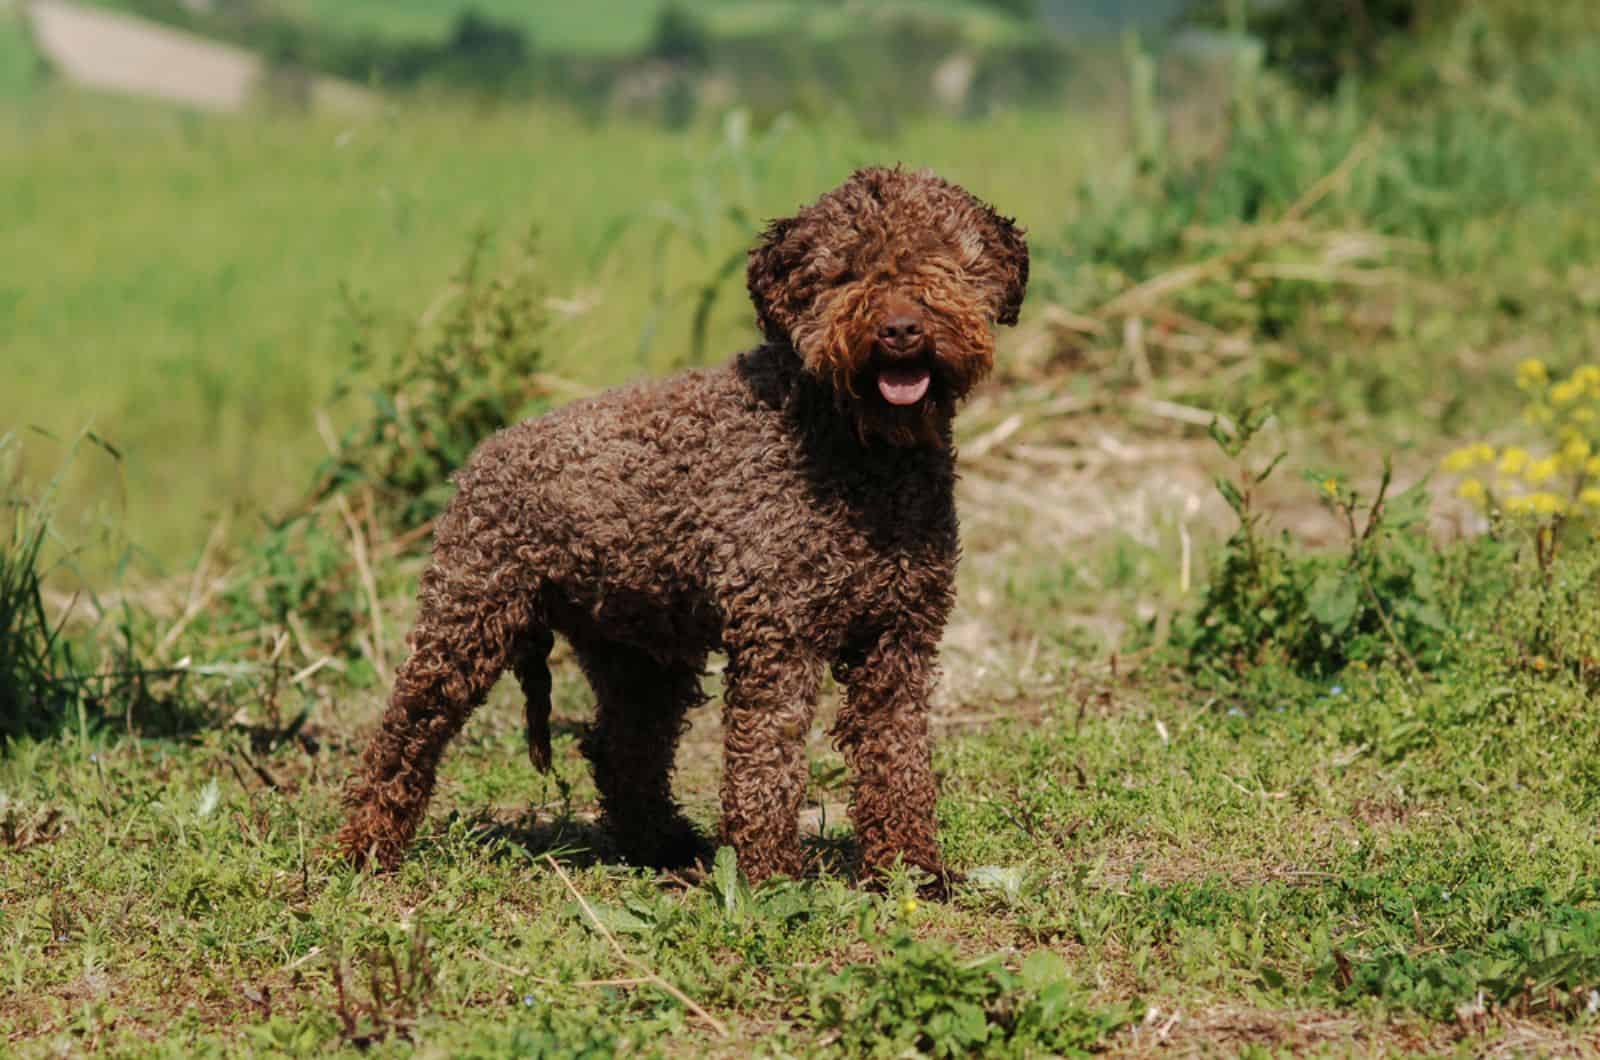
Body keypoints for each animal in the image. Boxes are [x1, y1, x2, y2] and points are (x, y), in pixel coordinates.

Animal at [342, 168, 1030, 896]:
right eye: (844, 272)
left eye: (943, 260)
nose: (900, 329)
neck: (854, 447)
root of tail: (480, 457)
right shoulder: (778, 637)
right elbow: (766, 763)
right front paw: (768, 880)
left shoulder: (899, 638)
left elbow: (899, 760)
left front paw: (909, 870)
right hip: (468, 618)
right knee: (405, 733)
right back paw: (364, 847)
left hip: (639, 649)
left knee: (621, 751)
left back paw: (665, 847)